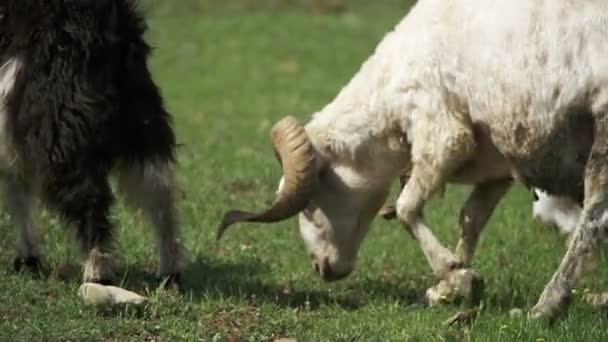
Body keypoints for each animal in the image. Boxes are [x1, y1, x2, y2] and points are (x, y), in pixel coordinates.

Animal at [1, 0, 184, 284]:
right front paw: (28, 259)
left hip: (61, 130)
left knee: (88, 198)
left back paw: (96, 273)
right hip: (144, 123)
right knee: (159, 190)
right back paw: (170, 271)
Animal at [220, 0, 608, 320]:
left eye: (311, 203)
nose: (320, 268)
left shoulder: (442, 133)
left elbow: (407, 208)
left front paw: (454, 274)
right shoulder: (496, 162)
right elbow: (471, 218)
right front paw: (451, 287)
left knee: (594, 216)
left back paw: (547, 306)